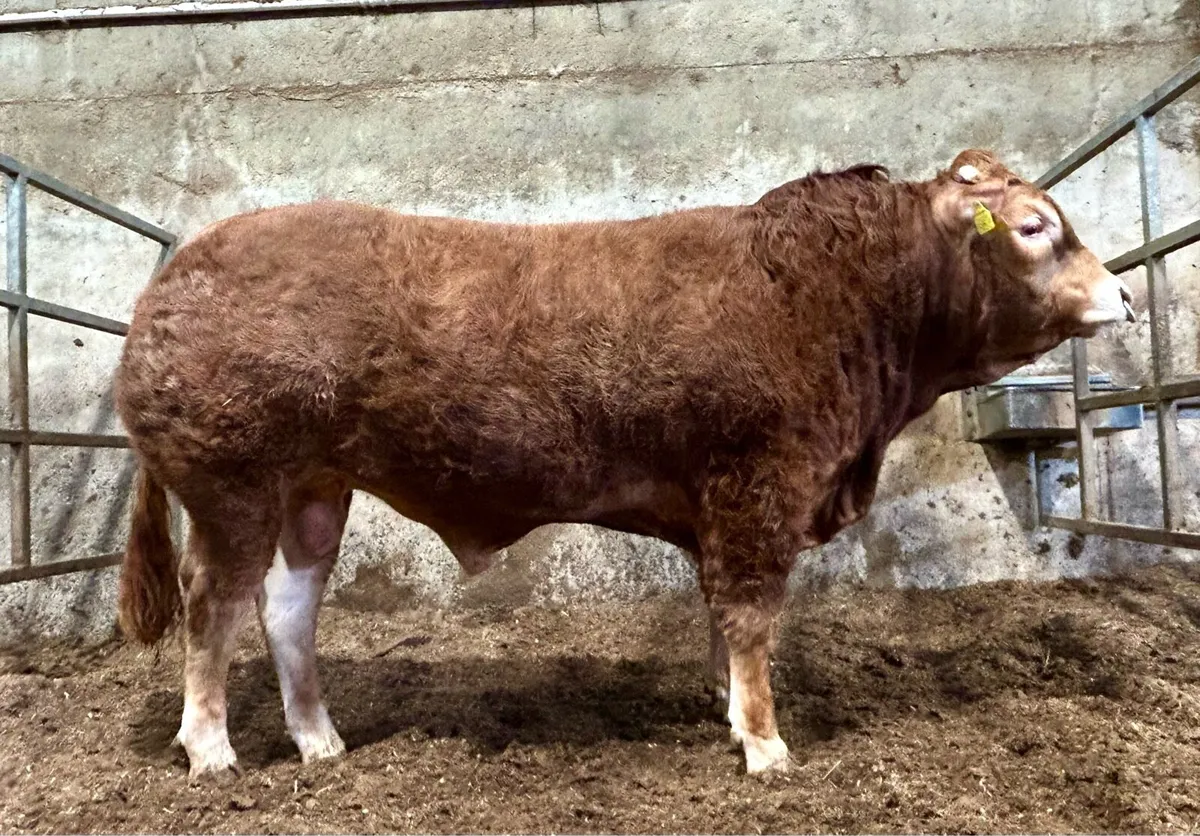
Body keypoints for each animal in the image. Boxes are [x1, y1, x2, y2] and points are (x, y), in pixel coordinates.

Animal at [114, 149, 1134, 779]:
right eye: (1035, 226)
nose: (1122, 295)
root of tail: (175, 276)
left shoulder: (718, 508)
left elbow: (721, 618)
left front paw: (728, 711)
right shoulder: (760, 486)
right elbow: (752, 617)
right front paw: (767, 747)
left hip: (315, 492)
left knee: (287, 610)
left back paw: (320, 740)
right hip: (234, 485)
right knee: (213, 607)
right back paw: (211, 750)